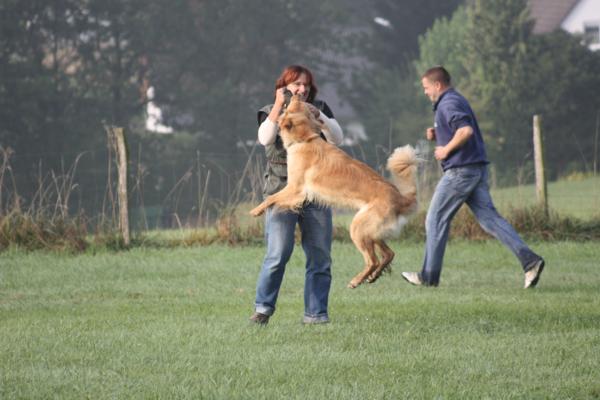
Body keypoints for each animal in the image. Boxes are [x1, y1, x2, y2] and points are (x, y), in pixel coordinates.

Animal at [250, 96, 420, 288]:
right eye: (298, 104)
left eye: (291, 106)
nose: (295, 95)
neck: (305, 140)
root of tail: (400, 198)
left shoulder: (295, 188)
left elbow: (271, 198)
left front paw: (256, 210)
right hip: (373, 233)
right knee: (388, 254)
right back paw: (372, 276)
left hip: (358, 229)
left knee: (373, 260)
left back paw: (356, 280)